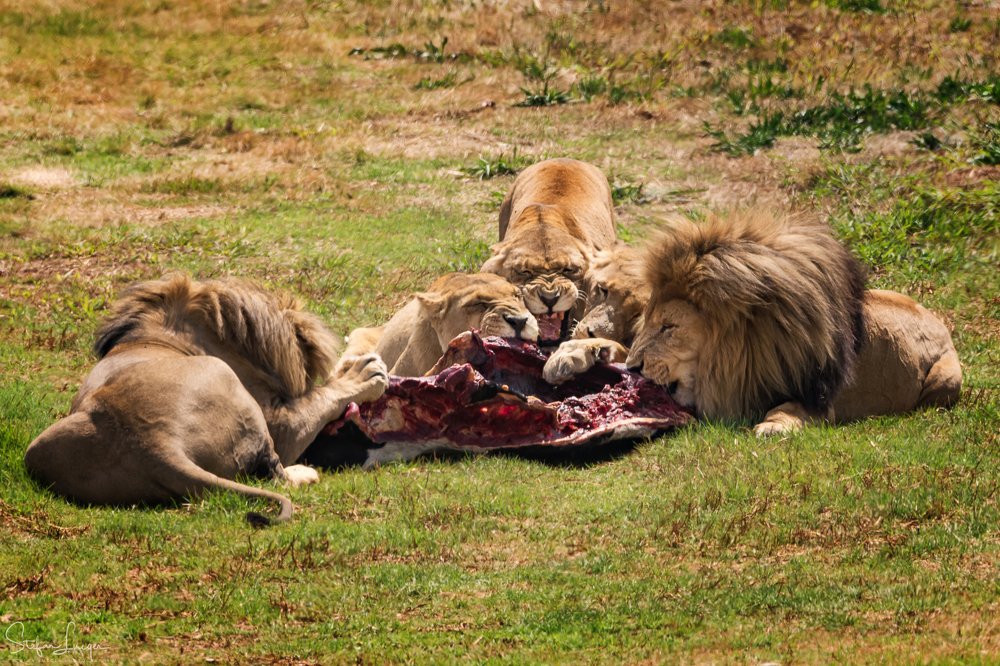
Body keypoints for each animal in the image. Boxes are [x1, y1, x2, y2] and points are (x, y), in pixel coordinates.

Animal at [23, 273, 388, 525]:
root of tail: (155, 445)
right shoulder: (280, 423)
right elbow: (322, 396)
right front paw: (363, 373)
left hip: (38, 450)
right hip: (224, 377)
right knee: (276, 472)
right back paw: (305, 472)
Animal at [622, 209, 961, 435]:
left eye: (668, 327)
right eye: (647, 322)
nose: (632, 367)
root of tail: (938, 322)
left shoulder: (820, 396)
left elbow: (786, 407)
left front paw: (772, 427)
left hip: (947, 378)